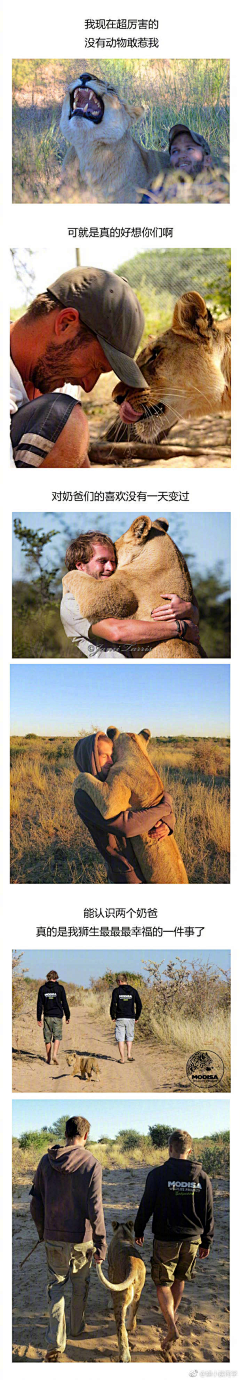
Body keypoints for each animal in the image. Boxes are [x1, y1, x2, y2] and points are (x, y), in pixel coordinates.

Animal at [95, 1219, 146, 1357]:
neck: (123, 1234)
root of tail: (133, 1266)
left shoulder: (110, 1269)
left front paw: (109, 1302)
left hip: (120, 1298)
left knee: (121, 1328)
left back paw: (124, 1356)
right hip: (137, 1293)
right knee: (132, 1317)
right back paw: (130, 1325)